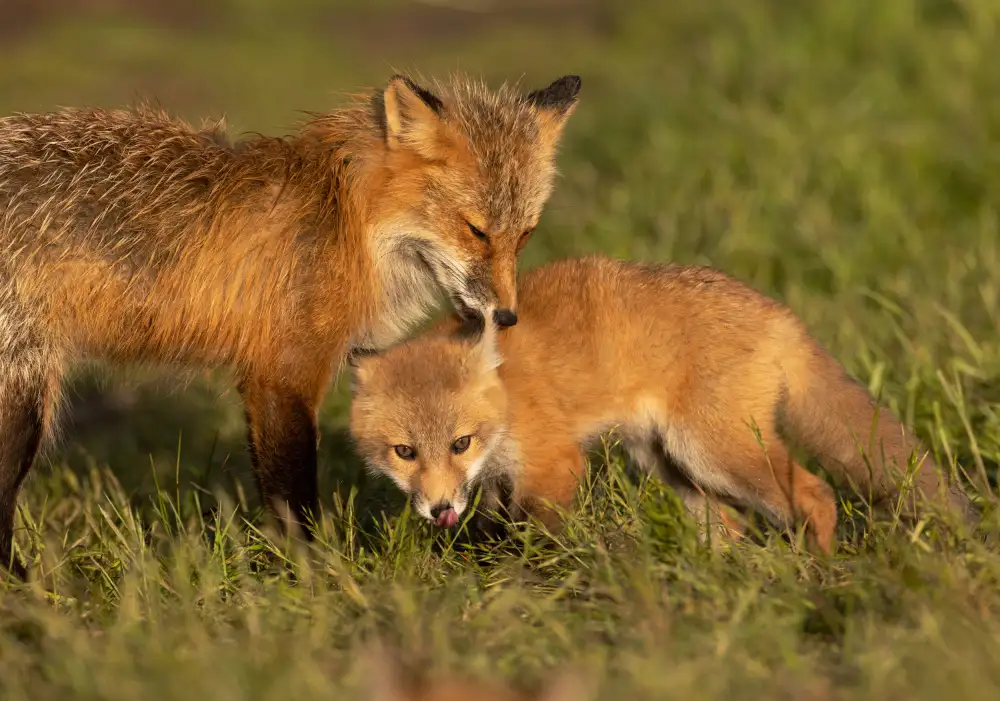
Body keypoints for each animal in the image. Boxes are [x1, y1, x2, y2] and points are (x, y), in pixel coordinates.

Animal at [0, 72, 582, 578]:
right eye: (475, 230)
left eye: (525, 235)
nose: (505, 317)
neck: (350, 224)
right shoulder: (283, 373)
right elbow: (291, 495)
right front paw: (316, 575)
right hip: (23, 400)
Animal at [348, 255, 975, 555]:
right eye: (404, 452)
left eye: (461, 442)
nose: (438, 510)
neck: (507, 400)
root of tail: (779, 312)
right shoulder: (502, 481)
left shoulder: (554, 463)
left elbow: (536, 538)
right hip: (669, 464)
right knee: (733, 527)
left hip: (712, 452)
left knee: (816, 495)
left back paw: (818, 573)